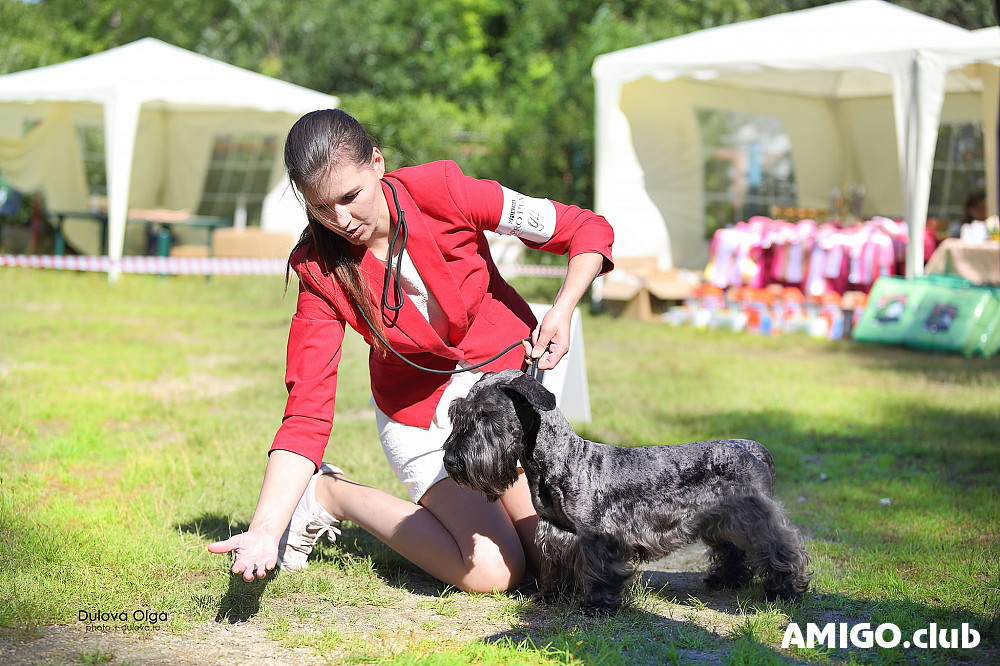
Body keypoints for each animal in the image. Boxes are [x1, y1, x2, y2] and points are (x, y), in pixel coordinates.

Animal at [446, 368, 812, 612]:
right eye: (456, 413)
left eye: (487, 415)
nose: (450, 460)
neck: (562, 460)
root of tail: (754, 449)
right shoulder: (555, 532)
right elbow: (555, 566)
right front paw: (550, 597)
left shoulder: (597, 536)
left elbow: (598, 570)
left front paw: (595, 605)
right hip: (722, 521)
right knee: (732, 550)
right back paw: (726, 579)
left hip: (753, 519)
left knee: (783, 547)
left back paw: (785, 591)